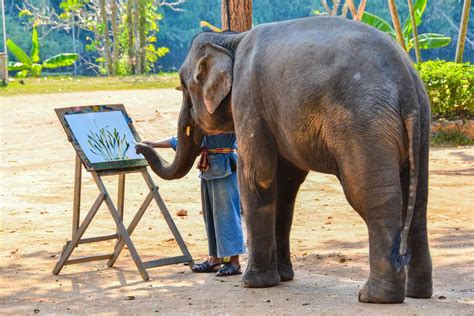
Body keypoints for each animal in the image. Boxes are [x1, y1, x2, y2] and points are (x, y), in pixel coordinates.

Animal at [135, 16, 432, 304]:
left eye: (183, 86)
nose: (139, 145)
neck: (232, 38)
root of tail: (406, 81)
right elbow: (286, 184)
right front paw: (283, 277)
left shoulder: (248, 98)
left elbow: (258, 175)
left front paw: (254, 283)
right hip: (420, 129)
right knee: (416, 202)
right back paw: (417, 292)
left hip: (363, 126)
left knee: (372, 198)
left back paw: (375, 297)